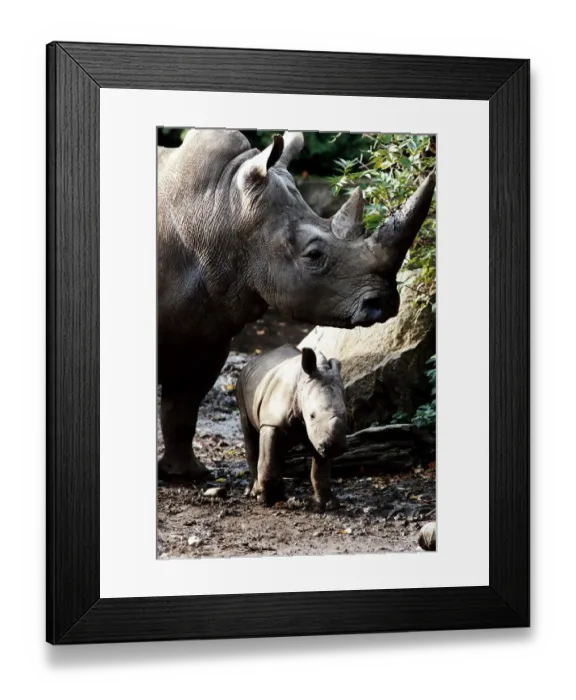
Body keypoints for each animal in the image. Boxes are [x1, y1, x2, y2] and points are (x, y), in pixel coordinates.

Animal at [157, 129, 435, 481]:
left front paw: (185, 474)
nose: (384, 304)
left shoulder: (209, 332)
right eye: (314, 255)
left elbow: (184, 405)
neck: (223, 209)